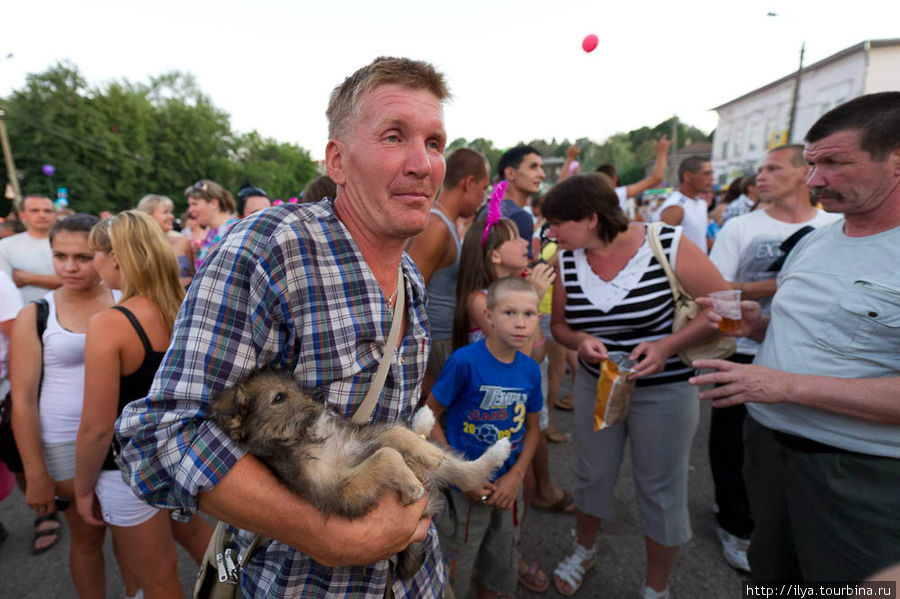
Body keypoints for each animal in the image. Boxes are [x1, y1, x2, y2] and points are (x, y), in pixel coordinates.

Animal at [207, 368, 510, 580]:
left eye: (296, 385)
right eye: (279, 398)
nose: (320, 396)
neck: (309, 436)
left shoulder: (362, 439)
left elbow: (394, 434)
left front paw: (425, 451)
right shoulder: (343, 492)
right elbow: (386, 455)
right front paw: (411, 486)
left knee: (463, 471)